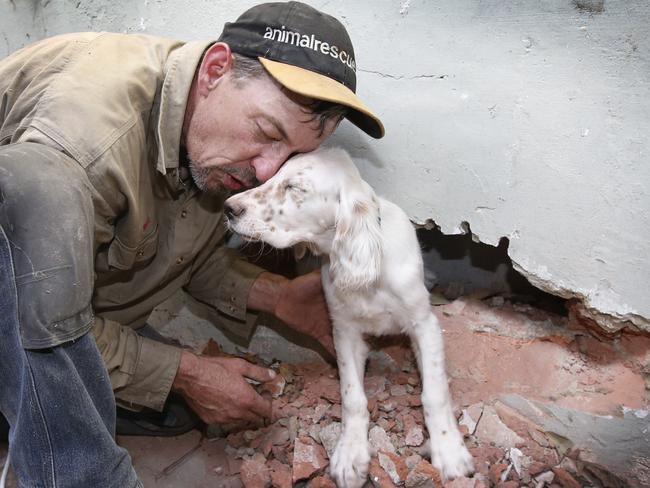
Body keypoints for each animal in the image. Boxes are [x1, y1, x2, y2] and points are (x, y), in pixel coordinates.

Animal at [225, 149, 474, 488]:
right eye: (274, 177)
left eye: (294, 187)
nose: (228, 208)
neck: (369, 271)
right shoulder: (344, 332)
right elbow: (352, 396)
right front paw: (350, 453)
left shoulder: (425, 325)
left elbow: (434, 392)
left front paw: (449, 450)